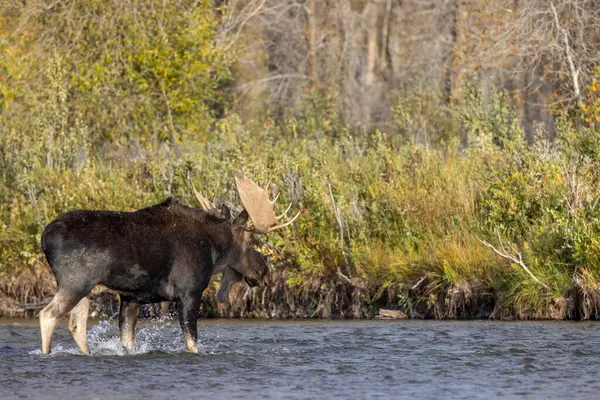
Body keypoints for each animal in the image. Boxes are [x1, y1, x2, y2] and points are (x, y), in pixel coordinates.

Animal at [38, 178, 298, 354]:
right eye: (250, 242)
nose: (264, 273)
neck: (214, 250)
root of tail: (44, 238)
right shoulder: (189, 292)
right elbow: (192, 343)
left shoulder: (131, 297)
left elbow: (127, 341)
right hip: (75, 282)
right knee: (47, 315)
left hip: (84, 288)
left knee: (76, 325)